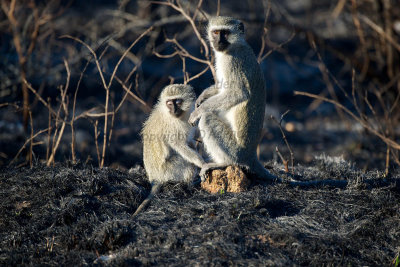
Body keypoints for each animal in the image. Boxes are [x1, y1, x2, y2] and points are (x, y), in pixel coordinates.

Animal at [133, 85, 205, 217]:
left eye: (177, 102)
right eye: (169, 103)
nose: (174, 109)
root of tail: (155, 178)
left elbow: (189, 142)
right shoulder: (173, 126)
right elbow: (179, 145)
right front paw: (202, 163)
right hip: (169, 171)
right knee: (188, 165)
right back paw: (190, 185)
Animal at [189, 16, 280, 182]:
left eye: (225, 33)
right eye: (216, 32)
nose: (218, 41)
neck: (233, 47)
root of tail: (251, 156)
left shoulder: (232, 62)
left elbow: (238, 93)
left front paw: (198, 111)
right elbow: (221, 87)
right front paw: (202, 97)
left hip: (234, 149)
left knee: (207, 119)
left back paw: (223, 163)